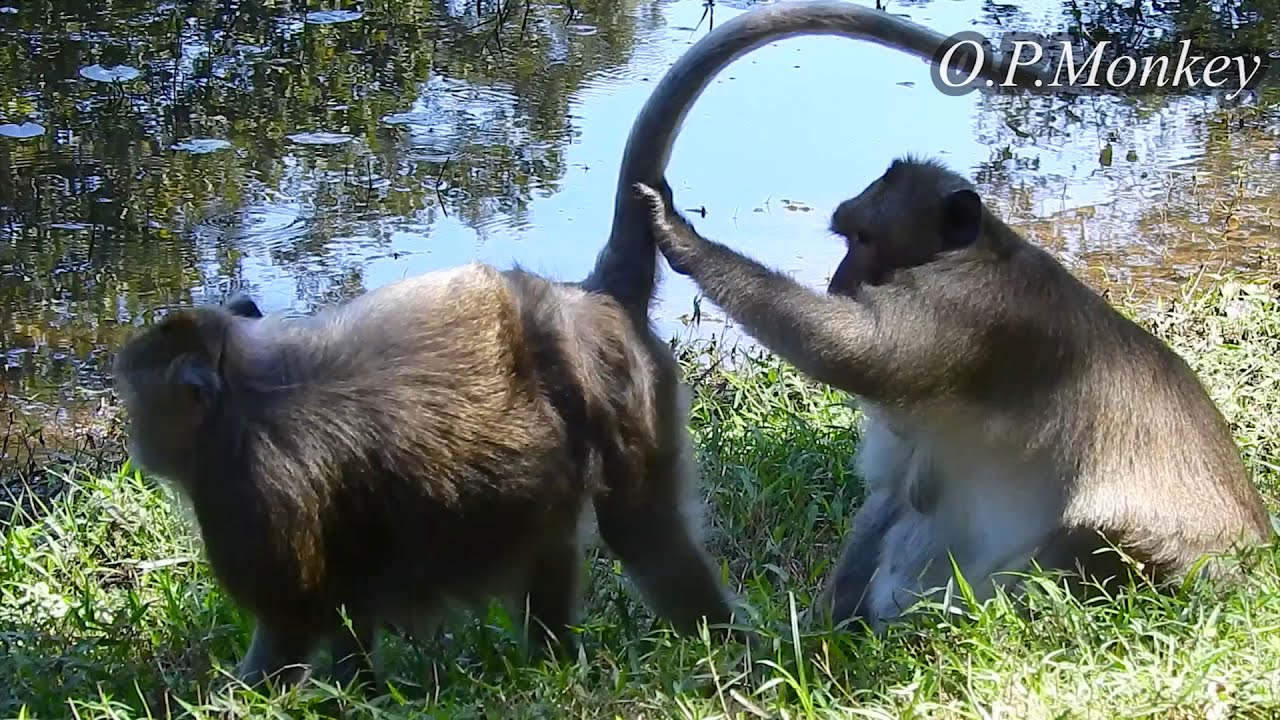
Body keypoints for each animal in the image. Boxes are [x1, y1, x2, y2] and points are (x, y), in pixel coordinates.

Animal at [112, 2, 1054, 689]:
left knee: (641, 531)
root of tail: (590, 298)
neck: (242, 385)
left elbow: (294, 623)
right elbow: (346, 613)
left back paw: (717, 641)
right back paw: (564, 657)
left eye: (134, 397)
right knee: (552, 529)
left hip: (626, 392)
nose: (135, 439)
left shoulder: (244, 494)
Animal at [632, 156, 1275, 633]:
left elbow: (856, 352)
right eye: (847, 235)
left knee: (1096, 530)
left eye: (865, 238)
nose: (837, 281)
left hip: (1183, 567)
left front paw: (681, 236)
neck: (978, 249)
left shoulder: (970, 310)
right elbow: (894, 492)